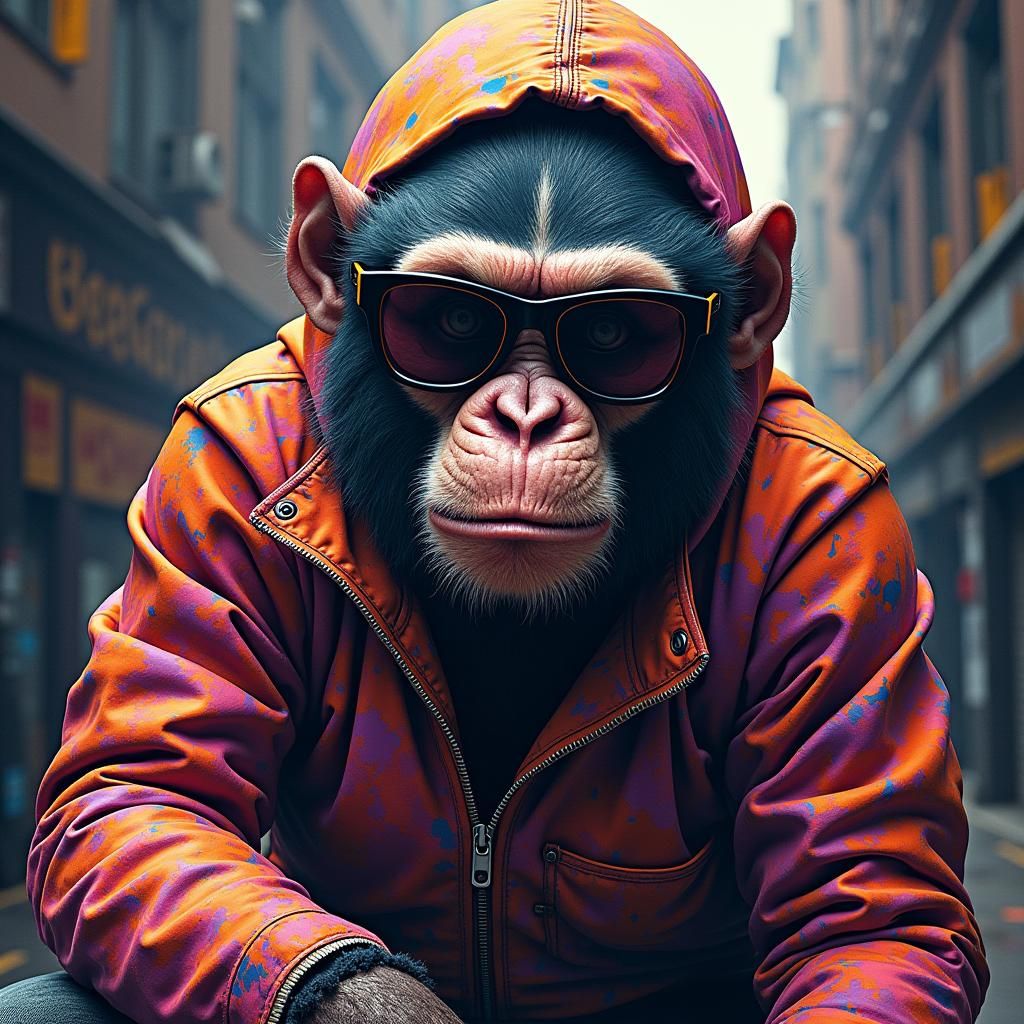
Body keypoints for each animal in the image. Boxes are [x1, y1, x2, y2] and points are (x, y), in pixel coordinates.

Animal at [18, 3, 987, 1024]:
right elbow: (139, 792)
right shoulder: (216, 455)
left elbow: (869, 912)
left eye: (614, 334)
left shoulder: (844, 535)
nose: (526, 415)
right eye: (449, 322)